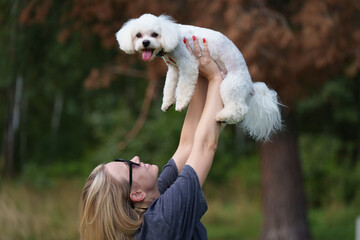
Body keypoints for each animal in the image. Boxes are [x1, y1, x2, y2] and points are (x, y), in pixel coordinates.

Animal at [116, 13, 282, 141]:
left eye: (155, 34)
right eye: (138, 35)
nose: (145, 42)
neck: (172, 35)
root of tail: (250, 85)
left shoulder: (188, 65)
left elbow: (183, 88)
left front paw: (181, 104)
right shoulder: (174, 69)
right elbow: (169, 86)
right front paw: (167, 103)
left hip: (229, 86)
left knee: (239, 109)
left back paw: (222, 116)